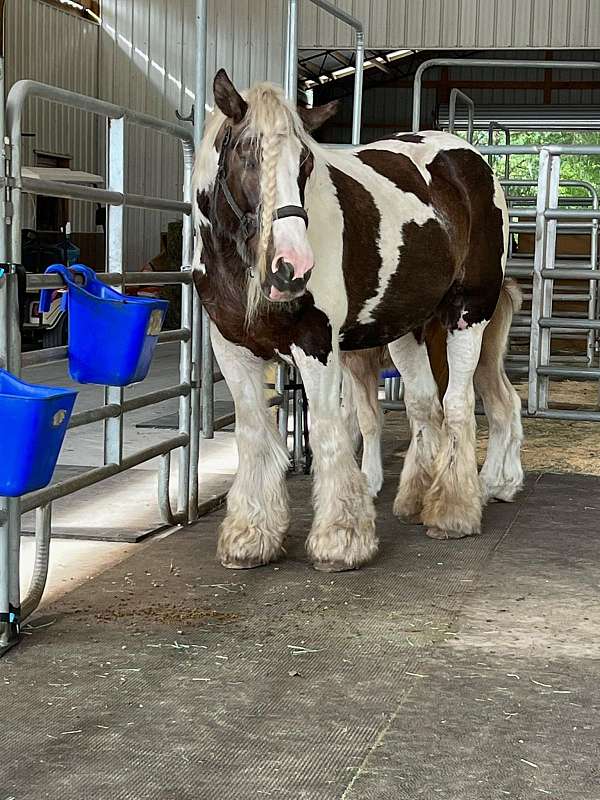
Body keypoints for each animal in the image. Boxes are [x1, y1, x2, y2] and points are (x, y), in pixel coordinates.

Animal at [195, 69, 524, 568]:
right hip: (406, 330)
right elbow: (253, 435)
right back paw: (421, 498)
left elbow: (331, 432)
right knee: (425, 405)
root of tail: (467, 160)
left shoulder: (317, 344)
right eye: (246, 154)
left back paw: (454, 510)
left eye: (305, 163)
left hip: (468, 315)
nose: (291, 268)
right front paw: (250, 536)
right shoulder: (231, 349)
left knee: (459, 405)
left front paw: (342, 538)